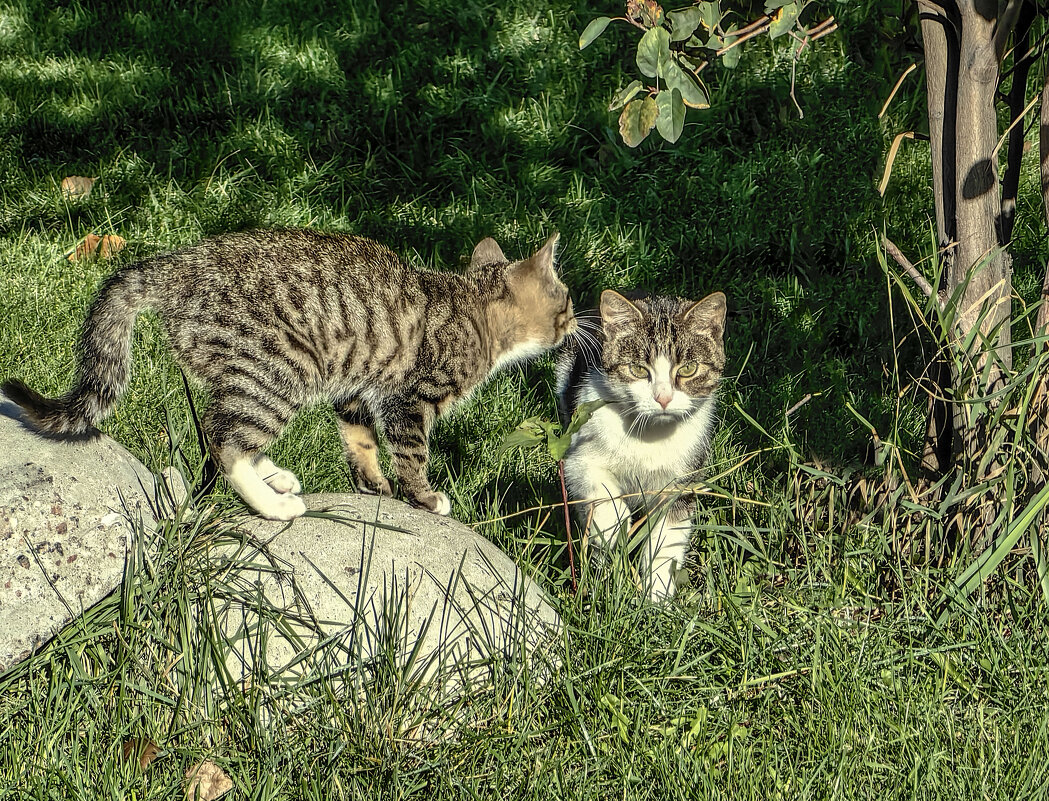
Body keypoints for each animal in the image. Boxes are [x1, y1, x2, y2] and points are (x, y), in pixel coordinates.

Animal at [4, 228, 579, 522]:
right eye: (568, 300)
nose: (578, 320)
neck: (473, 310)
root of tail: (174, 267)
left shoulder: (356, 389)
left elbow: (360, 441)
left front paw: (373, 485)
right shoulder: (410, 398)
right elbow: (411, 453)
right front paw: (425, 496)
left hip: (255, 371)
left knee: (224, 426)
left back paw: (273, 475)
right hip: (282, 367)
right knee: (223, 439)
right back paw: (273, 504)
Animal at [553, 289, 725, 599]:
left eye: (689, 368)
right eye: (637, 369)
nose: (663, 398)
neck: (650, 436)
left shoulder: (682, 482)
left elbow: (666, 544)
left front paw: (657, 597)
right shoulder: (579, 457)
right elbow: (599, 493)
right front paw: (613, 529)